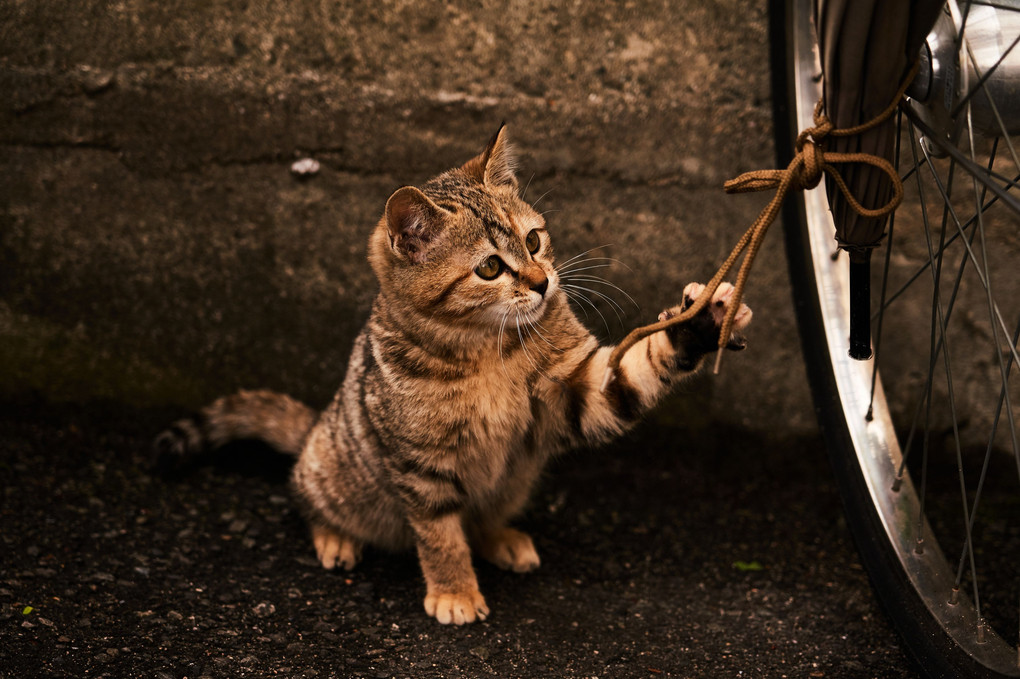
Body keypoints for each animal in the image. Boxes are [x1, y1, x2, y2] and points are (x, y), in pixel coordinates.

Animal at [155, 126, 754, 623]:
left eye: (533, 240)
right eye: (490, 267)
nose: (542, 282)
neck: (489, 350)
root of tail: (317, 428)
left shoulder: (581, 386)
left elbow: (639, 367)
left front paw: (700, 324)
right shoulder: (420, 465)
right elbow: (439, 535)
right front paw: (454, 591)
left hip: (517, 474)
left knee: (485, 511)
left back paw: (501, 538)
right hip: (334, 471)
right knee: (308, 495)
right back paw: (335, 539)